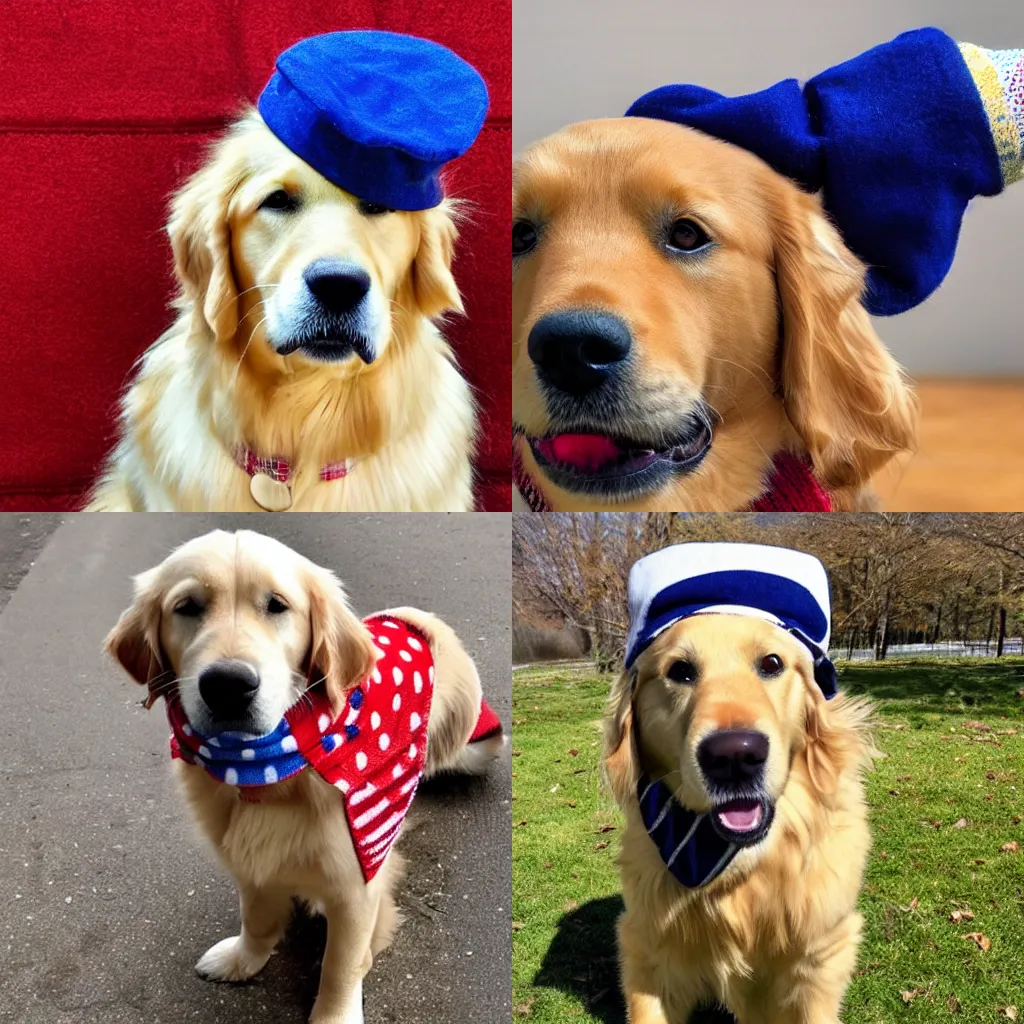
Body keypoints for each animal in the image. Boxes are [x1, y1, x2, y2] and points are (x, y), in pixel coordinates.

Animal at [104, 532, 503, 1019]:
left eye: (277, 605)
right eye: (187, 606)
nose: (227, 685)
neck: (263, 767)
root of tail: (414, 618)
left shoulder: (357, 885)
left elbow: (341, 964)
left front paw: (334, 1014)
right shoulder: (251, 861)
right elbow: (256, 920)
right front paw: (243, 960)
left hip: (472, 744)